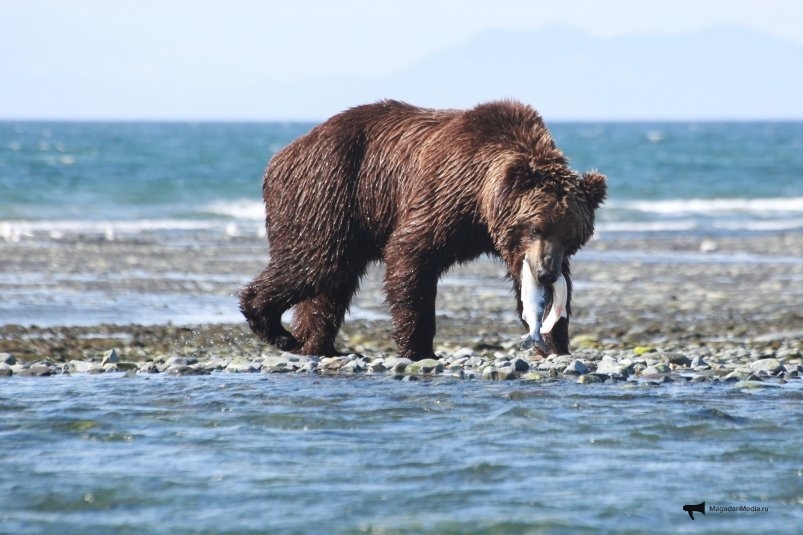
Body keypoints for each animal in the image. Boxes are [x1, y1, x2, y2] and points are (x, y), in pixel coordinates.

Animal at [242, 99, 608, 360]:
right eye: (535, 228)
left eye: (571, 236)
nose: (546, 273)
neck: (481, 199)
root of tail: (281, 155)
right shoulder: (445, 191)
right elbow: (410, 255)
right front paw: (419, 349)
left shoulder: (508, 242)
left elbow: (528, 284)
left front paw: (557, 342)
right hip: (327, 190)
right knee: (315, 263)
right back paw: (274, 328)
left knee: (332, 284)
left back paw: (315, 343)